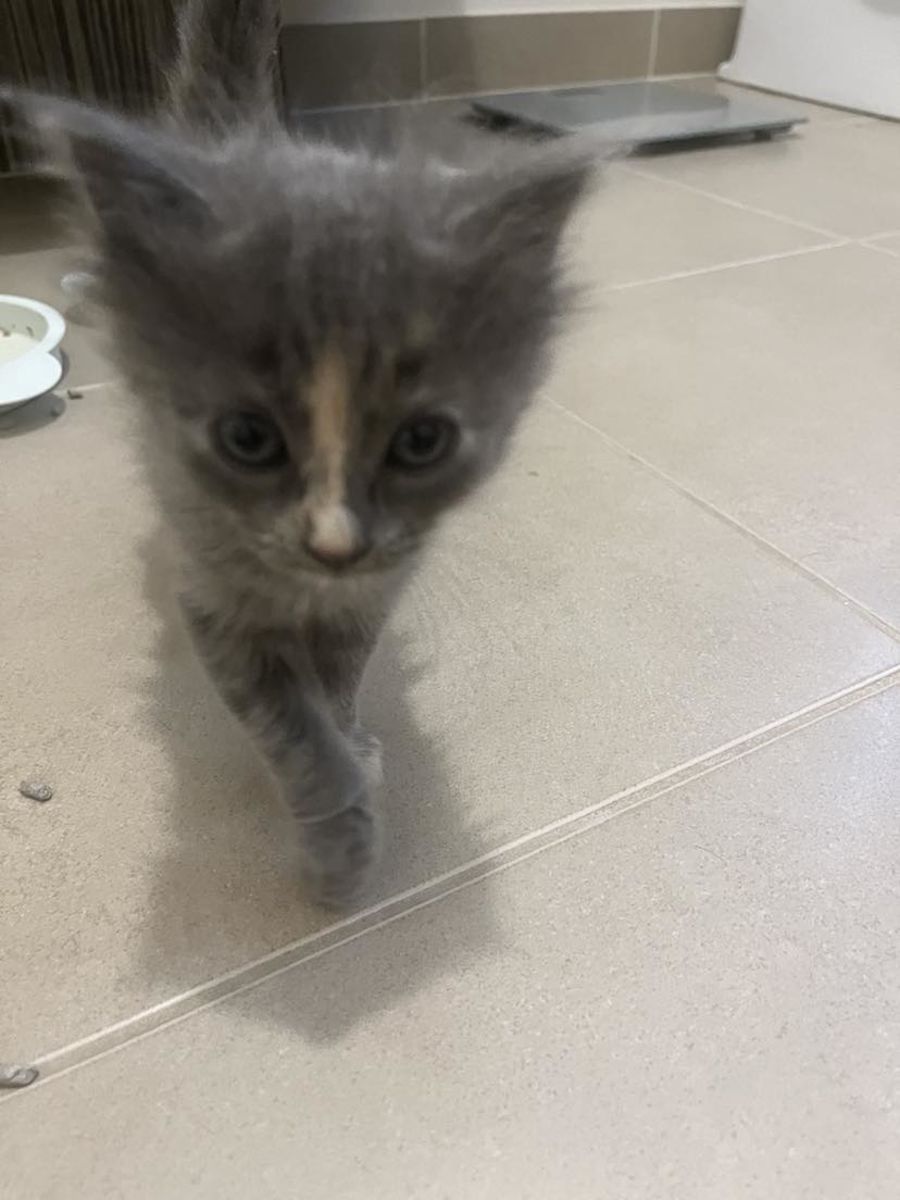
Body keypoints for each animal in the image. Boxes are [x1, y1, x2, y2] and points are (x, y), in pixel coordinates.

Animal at [6, 0, 597, 906]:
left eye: (421, 442)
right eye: (248, 439)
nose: (336, 544)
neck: (311, 588)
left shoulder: (373, 592)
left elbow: (338, 683)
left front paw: (354, 746)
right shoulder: (217, 599)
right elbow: (288, 723)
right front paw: (338, 841)